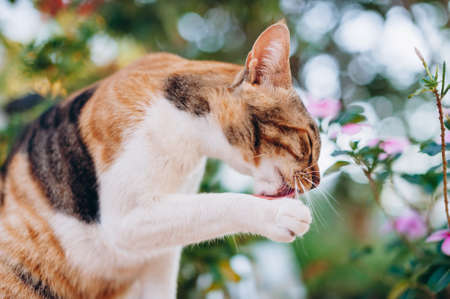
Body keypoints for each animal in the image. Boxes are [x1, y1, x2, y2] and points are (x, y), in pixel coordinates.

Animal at [0, 20, 320, 299]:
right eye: (308, 143)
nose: (316, 183)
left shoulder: (161, 253)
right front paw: (279, 214)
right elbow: (216, 204)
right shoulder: (126, 219)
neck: (190, 139)